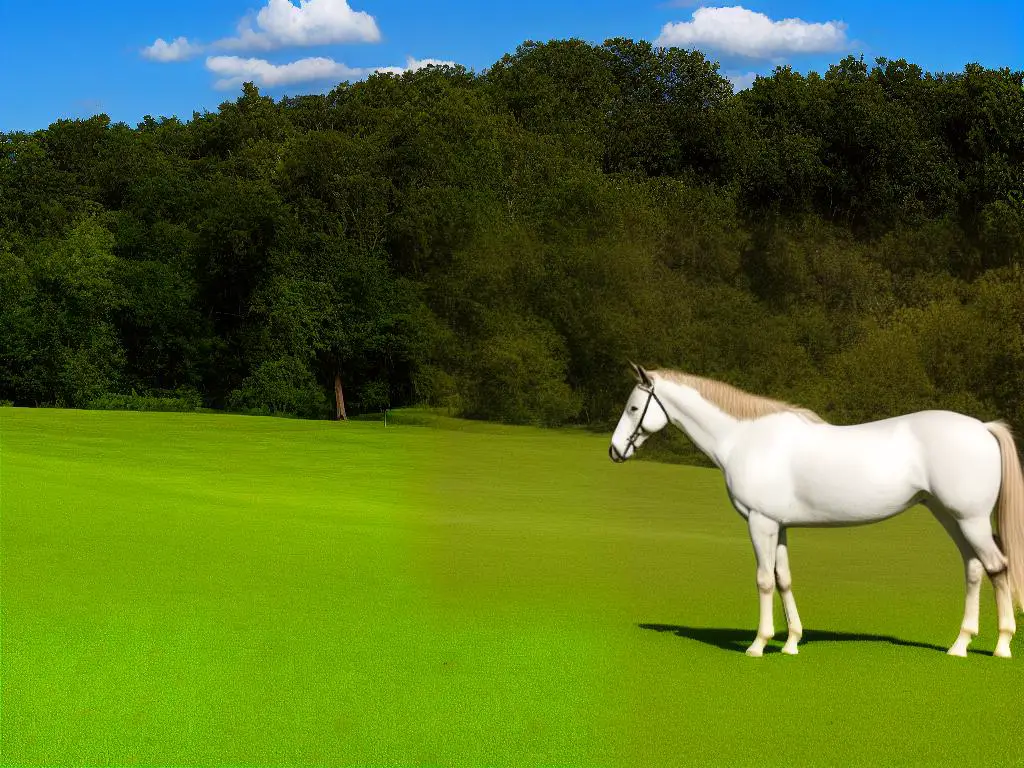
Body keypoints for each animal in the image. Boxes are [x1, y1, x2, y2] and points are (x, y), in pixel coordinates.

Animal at [606, 364, 1024, 659]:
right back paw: (960, 645)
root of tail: (983, 428)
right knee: (974, 569)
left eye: (633, 407)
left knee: (998, 567)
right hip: (951, 517)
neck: (745, 439)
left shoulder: (760, 523)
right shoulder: (779, 526)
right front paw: (791, 642)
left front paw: (758, 644)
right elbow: (784, 579)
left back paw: (1002, 645)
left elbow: (764, 580)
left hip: (969, 520)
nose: (614, 451)